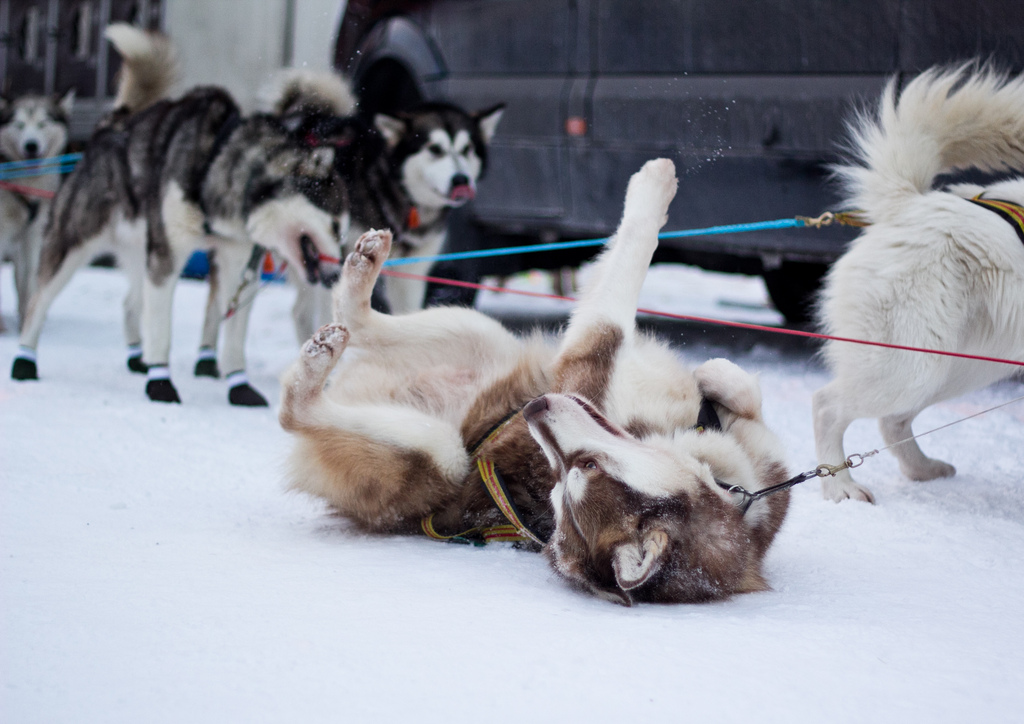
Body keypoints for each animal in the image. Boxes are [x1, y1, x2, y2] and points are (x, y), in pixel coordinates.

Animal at [811, 66, 1019, 503]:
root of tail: (907, 203)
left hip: (961, 363)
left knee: (892, 421)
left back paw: (923, 470)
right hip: (912, 364)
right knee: (827, 405)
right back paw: (841, 486)